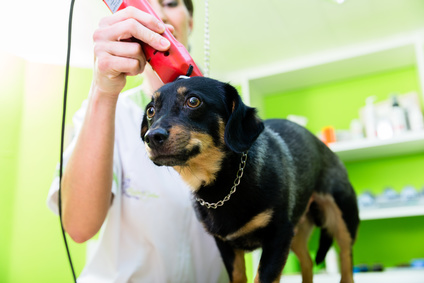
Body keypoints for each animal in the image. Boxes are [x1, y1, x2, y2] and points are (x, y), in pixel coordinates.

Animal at [141, 77, 360, 283]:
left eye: (193, 101)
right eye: (151, 110)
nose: (151, 137)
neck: (222, 188)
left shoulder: (278, 236)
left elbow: (262, 277)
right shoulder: (226, 246)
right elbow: (238, 276)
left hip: (342, 219)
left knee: (346, 260)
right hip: (297, 232)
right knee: (307, 261)